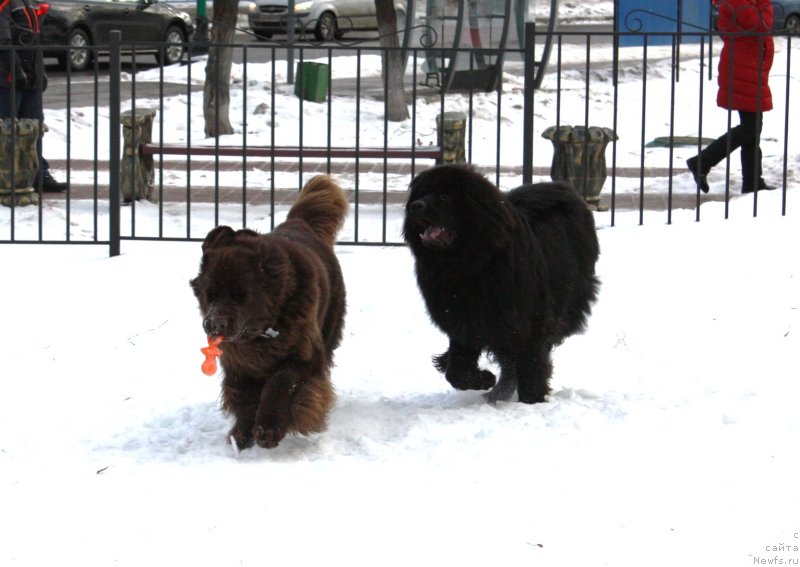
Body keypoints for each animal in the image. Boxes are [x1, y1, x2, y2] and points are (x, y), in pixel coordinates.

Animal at [192, 175, 348, 450]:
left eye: (240, 294)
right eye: (210, 294)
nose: (214, 324)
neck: (263, 332)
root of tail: (298, 222)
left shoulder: (302, 354)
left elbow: (280, 382)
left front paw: (268, 429)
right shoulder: (239, 363)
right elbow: (244, 397)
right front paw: (242, 436)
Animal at [404, 164, 596, 404]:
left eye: (445, 196)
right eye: (420, 194)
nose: (415, 206)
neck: (469, 266)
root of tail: (566, 188)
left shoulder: (529, 320)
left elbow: (532, 363)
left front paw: (532, 400)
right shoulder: (463, 320)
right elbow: (456, 370)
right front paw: (483, 379)